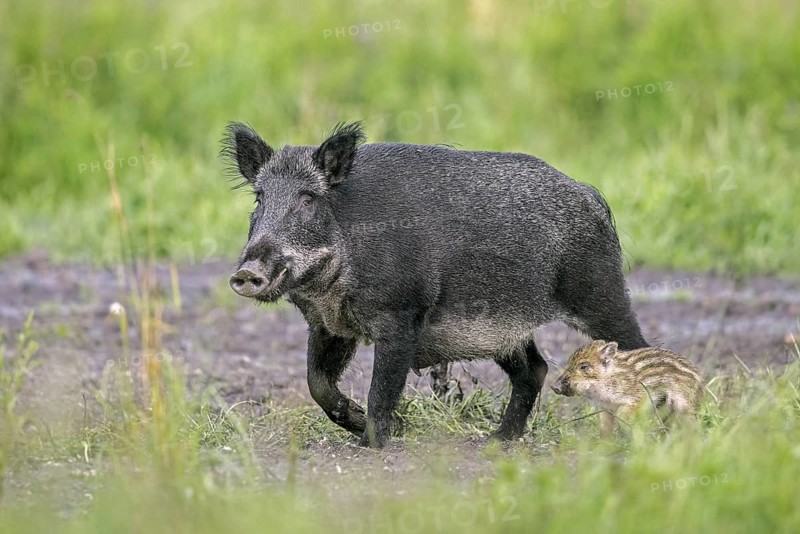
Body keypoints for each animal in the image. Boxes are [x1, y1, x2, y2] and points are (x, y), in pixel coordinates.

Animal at [222, 121, 647, 448]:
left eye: (308, 199)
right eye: (259, 199)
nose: (245, 274)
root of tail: (592, 196)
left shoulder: (401, 316)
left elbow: (382, 389)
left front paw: (372, 443)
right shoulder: (327, 326)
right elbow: (317, 384)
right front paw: (379, 427)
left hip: (599, 292)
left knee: (636, 349)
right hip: (502, 329)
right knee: (534, 369)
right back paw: (496, 442)